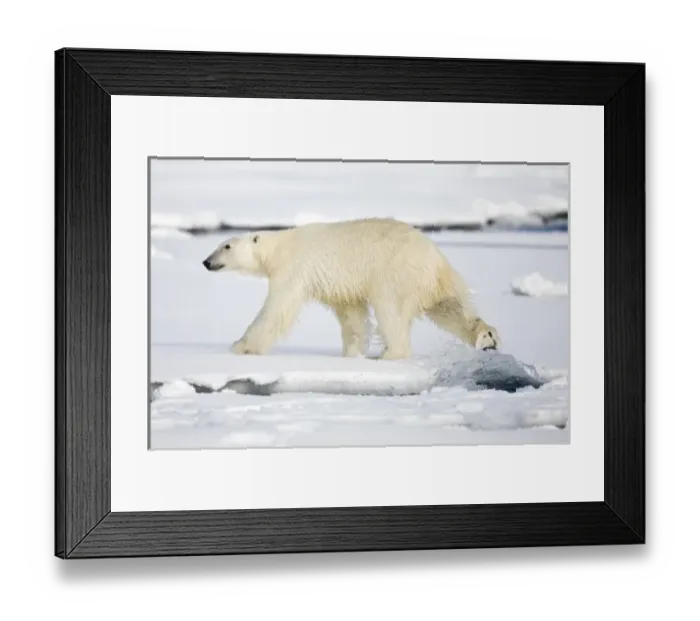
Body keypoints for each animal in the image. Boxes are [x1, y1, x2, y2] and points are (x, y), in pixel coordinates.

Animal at [202, 218, 500, 360]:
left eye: (226, 246)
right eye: (219, 244)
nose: (206, 261)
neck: (278, 248)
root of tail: (436, 257)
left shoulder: (294, 269)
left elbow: (277, 309)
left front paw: (241, 346)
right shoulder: (341, 286)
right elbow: (352, 314)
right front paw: (351, 353)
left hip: (395, 273)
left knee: (390, 310)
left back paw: (390, 353)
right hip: (434, 281)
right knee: (450, 307)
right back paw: (486, 337)